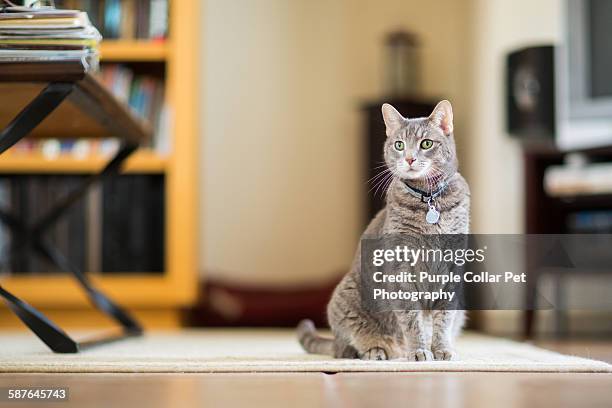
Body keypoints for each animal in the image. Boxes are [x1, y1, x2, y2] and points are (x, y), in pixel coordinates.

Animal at [296, 101, 468, 360]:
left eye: (426, 143)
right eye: (399, 145)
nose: (409, 158)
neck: (429, 199)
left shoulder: (452, 270)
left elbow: (443, 319)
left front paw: (441, 350)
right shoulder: (401, 267)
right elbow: (412, 319)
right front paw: (419, 351)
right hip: (347, 298)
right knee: (348, 348)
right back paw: (377, 350)